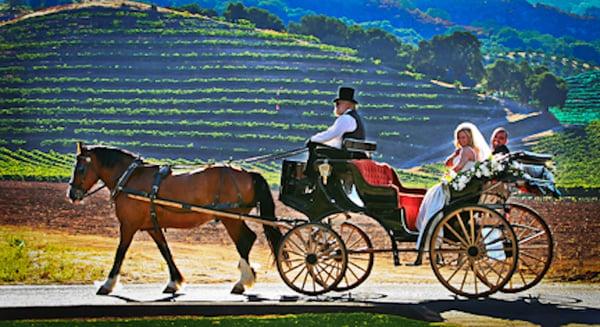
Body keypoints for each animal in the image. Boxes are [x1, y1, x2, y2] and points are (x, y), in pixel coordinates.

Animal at [67, 143, 282, 294]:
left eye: (81, 168)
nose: (72, 194)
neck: (129, 178)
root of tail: (247, 173)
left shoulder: (128, 225)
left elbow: (120, 252)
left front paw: (108, 284)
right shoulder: (152, 226)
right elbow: (165, 251)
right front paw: (174, 282)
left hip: (231, 219)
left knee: (245, 241)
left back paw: (243, 281)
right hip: (234, 218)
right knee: (248, 240)